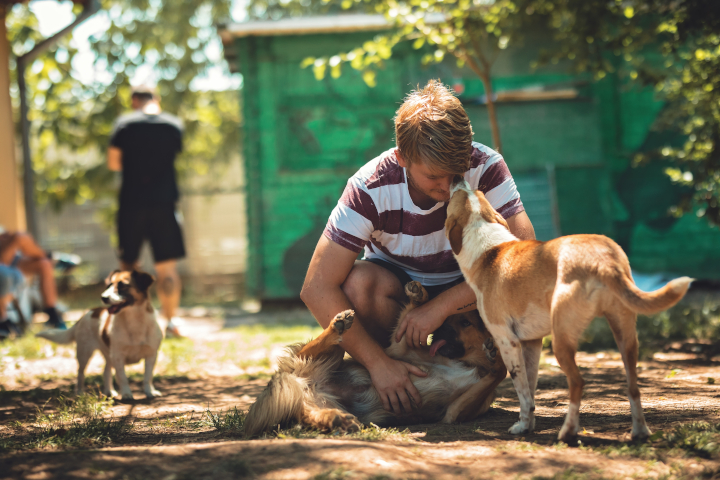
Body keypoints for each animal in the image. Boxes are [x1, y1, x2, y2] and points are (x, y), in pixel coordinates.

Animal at [36, 270, 163, 402]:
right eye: (109, 285)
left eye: (123, 285)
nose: (103, 297)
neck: (134, 322)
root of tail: (88, 313)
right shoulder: (118, 357)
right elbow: (122, 377)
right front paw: (126, 393)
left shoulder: (151, 355)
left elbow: (148, 377)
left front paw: (150, 391)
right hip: (84, 354)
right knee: (80, 373)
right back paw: (80, 392)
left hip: (108, 355)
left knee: (106, 371)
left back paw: (109, 391)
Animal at [243, 282, 506, 438]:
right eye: (445, 320)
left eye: (465, 323)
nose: (438, 330)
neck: (467, 362)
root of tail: (303, 383)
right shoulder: (400, 348)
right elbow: (410, 314)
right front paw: (419, 296)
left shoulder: (455, 411)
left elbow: (498, 371)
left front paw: (496, 354)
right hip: (329, 355)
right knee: (318, 346)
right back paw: (337, 326)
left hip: (315, 401)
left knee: (311, 416)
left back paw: (337, 420)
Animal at [444, 180, 692, 442]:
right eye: (475, 192)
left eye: (455, 195)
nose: (458, 178)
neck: (488, 250)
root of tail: (602, 259)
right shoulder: (531, 343)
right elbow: (530, 392)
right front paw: (528, 424)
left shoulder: (507, 341)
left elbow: (521, 389)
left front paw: (522, 427)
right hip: (626, 338)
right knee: (633, 386)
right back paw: (640, 432)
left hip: (561, 341)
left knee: (578, 382)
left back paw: (568, 432)